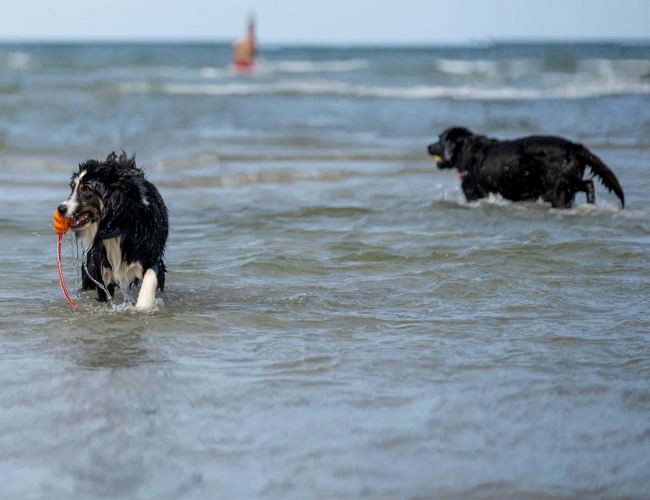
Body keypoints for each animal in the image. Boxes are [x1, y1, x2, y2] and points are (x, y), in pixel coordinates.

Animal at [56, 152, 168, 308]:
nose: (60, 209)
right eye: (72, 187)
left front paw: (143, 307)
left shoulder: (150, 254)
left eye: (86, 189)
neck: (116, 224)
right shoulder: (100, 270)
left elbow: (150, 279)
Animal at [426, 129, 624, 209]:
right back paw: (591, 204)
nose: (428, 146)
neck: (468, 149)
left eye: (440, 139)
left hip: (556, 190)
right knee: (588, 184)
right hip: (566, 181)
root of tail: (573, 147)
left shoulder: (472, 193)